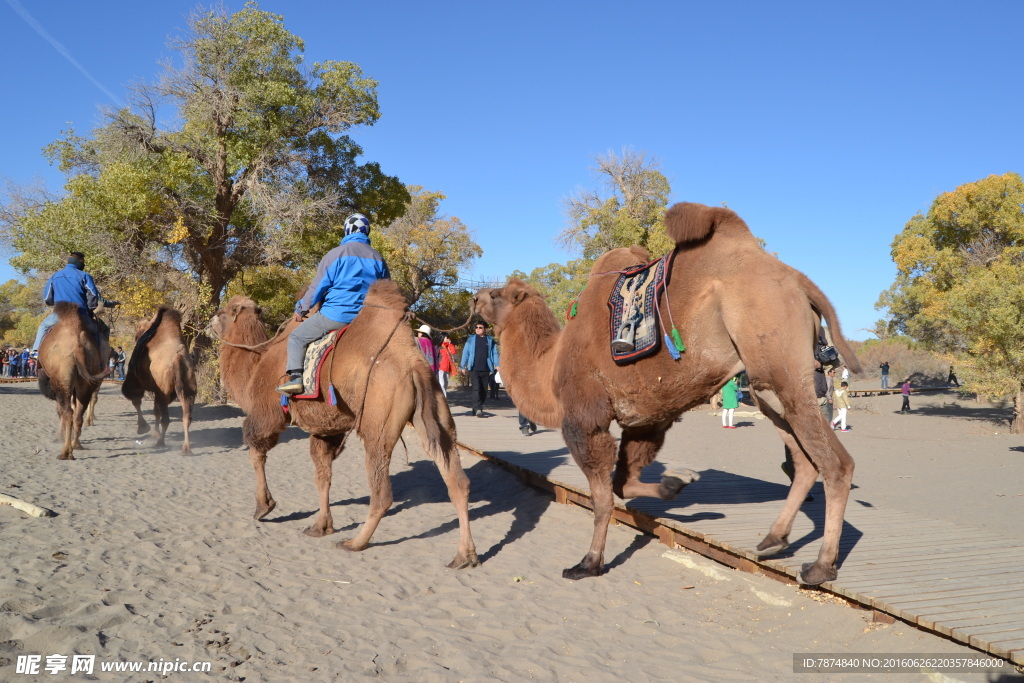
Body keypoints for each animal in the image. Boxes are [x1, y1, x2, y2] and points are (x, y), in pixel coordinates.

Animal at [35, 303, 106, 458]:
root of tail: (77, 346)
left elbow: (59, 410)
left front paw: (58, 437)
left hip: (62, 380)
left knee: (68, 413)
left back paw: (66, 452)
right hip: (86, 379)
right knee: (78, 413)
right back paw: (76, 445)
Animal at [120, 307, 196, 456]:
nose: (136, 337)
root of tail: (178, 358)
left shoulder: (135, 379)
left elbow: (136, 399)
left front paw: (143, 428)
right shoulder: (158, 390)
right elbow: (155, 411)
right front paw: (153, 432)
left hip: (163, 391)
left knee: (165, 418)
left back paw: (160, 442)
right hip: (188, 389)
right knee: (186, 417)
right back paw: (186, 448)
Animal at [210, 278, 479, 573]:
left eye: (222, 312)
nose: (209, 322)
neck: (255, 366)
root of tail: (414, 365)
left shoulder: (266, 412)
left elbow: (256, 452)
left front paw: (263, 507)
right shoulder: (328, 427)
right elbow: (322, 474)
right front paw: (320, 526)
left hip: (377, 423)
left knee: (381, 491)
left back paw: (355, 543)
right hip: (436, 413)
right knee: (457, 480)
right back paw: (465, 556)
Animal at [475, 200, 860, 585]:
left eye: (497, 295)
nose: (474, 297)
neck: (551, 363)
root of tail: (799, 282)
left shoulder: (585, 417)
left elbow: (603, 497)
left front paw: (589, 563)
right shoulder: (646, 418)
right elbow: (623, 484)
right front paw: (675, 484)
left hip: (781, 364)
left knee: (836, 463)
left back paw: (821, 566)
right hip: (766, 386)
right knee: (803, 459)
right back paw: (774, 539)